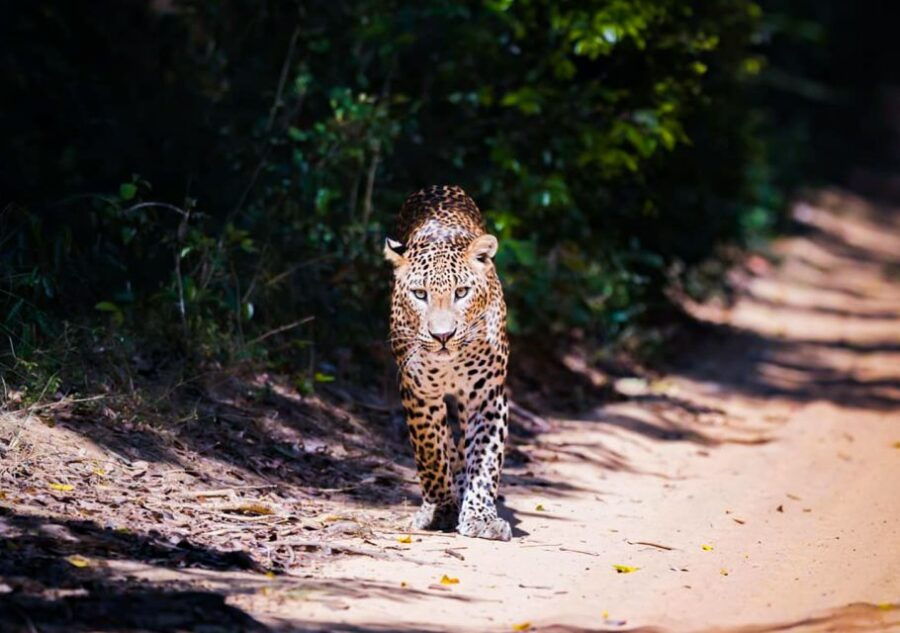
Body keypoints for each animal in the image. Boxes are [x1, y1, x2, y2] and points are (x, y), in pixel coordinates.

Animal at [384, 185, 512, 540]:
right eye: (419, 294)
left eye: (462, 292)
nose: (443, 335)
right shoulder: (418, 392)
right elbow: (430, 450)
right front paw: (440, 509)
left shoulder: (487, 395)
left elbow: (485, 458)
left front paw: (480, 516)